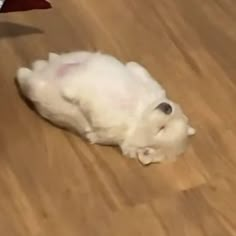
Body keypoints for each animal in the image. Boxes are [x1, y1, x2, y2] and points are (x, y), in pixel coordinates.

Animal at [15, 51, 195, 166]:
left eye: (161, 129)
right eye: (173, 115)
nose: (167, 107)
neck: (141, 111)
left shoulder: (108, 118)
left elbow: (86, 97)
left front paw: (69, 89)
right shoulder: (144, 78)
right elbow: (136, 68)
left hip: (34, 87)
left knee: (26, 76)